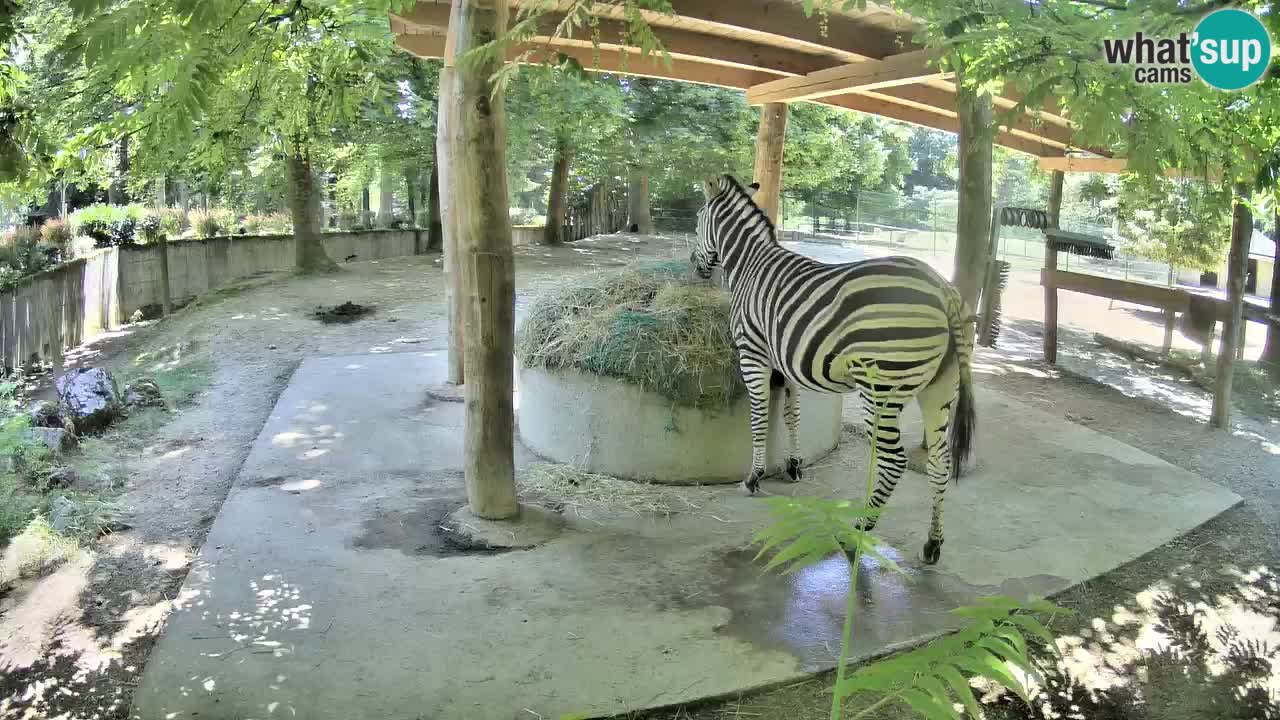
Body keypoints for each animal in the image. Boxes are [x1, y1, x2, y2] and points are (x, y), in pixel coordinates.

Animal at [691, 174, 976, 565]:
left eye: (697, 219)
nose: (695, 268)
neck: (750, 264)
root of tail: (942, 289)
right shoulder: (786, 361)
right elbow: (792, 415)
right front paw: (794, 465)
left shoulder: (753, 352)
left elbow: (759, 416)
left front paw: (753, 478)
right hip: (941, 389)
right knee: (940, 461)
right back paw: (933, 543)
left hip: (881, 390)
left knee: (894, 462)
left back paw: (857, 531)